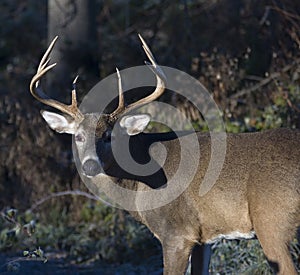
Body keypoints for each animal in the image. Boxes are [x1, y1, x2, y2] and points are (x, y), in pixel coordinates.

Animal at [28, 35, 300, 274]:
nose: (90, 165)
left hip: (272, 222)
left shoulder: (177, 233)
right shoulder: (205, 237)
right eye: (78, 136)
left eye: (109, 135)